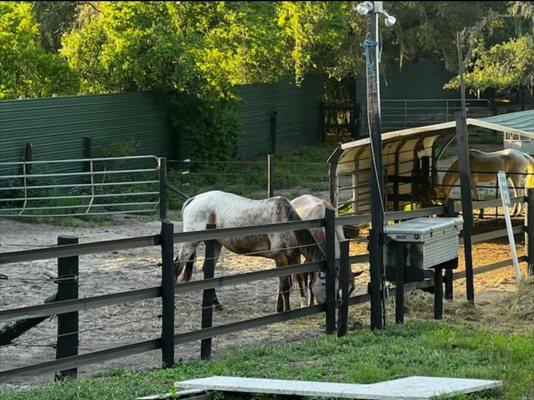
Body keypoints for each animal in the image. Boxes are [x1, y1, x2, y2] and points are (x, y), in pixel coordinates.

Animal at [176, 191, 324, 312]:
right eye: (324, 283)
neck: (285, 222)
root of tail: (195, 198)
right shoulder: (280, 258)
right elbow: (285, 287)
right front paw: (287, 311)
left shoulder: (294, 257)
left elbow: (296, 279)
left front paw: (286, 306)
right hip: (190, 244)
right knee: (177, 267)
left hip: (215, 245)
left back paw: (216, 304)